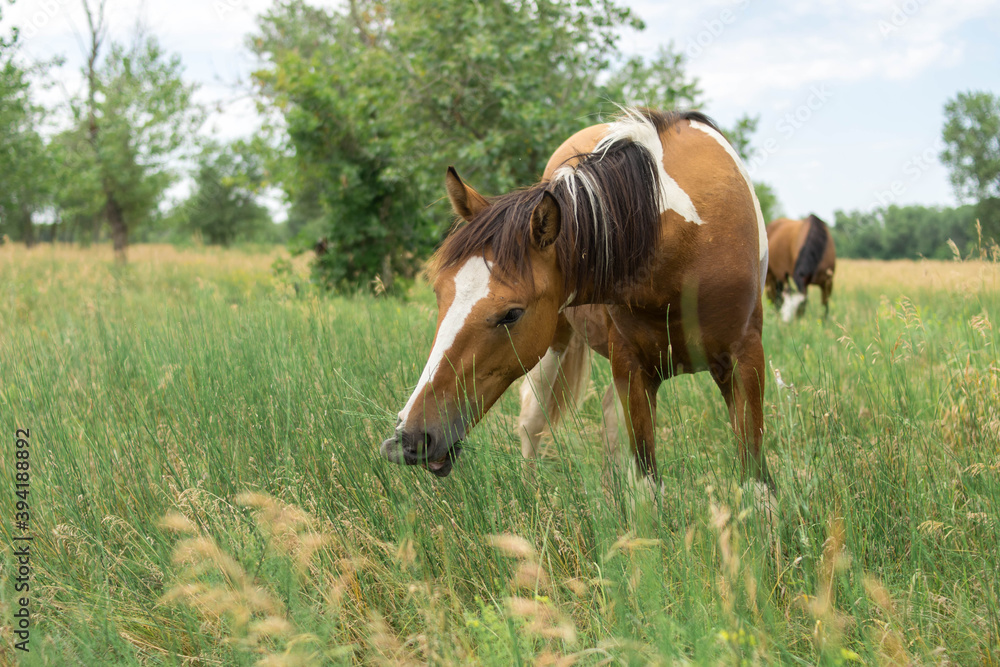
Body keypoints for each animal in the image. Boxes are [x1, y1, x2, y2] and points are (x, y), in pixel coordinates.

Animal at [379, 108, 773, 488]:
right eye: (439, 293)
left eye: (512, 313)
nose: (410, 438)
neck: (687, 245)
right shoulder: (632, 369)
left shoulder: (745, 361)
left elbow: (755, 478)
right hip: (556, 346)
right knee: (533, 421)